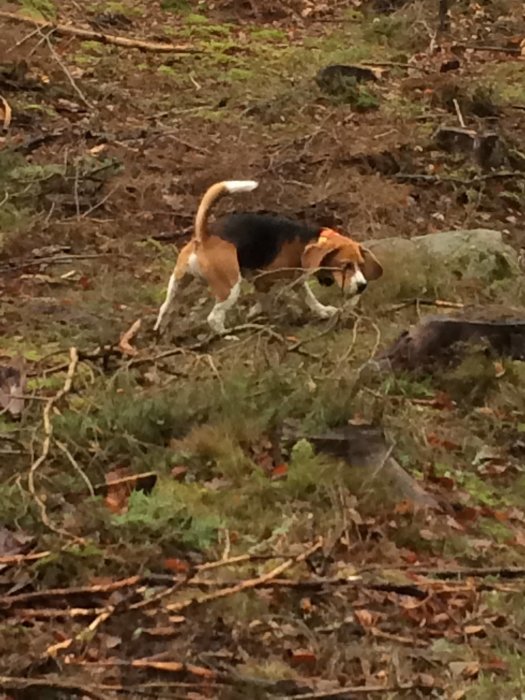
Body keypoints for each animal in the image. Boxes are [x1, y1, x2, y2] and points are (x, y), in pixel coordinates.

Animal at [154, 179, 382, 334]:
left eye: (361, 264)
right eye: (346, 265)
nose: (362, 286)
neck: (309, 239)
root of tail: (205, 236)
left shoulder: (295, 278)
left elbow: (308, 296)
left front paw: (322, 311)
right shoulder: (264, 278)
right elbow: (267, 299)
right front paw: (256, 313)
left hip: (178, 281)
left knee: (166, 306)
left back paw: (160, 328)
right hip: (230, 287)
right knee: (214, 318)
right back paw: (228, 335)